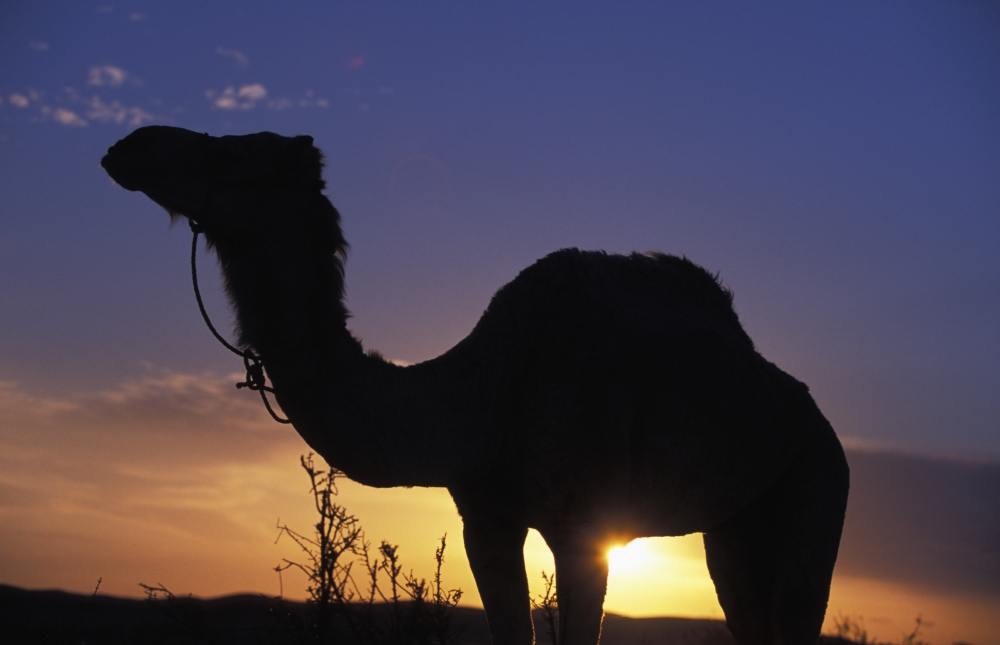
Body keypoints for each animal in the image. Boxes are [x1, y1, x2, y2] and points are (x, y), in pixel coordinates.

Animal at [101, 126, 849, 645]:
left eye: (235, 154)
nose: (130, 146)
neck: (485, 395)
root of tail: (810, 410)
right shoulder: (485, 520)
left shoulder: (586, 527)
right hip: (735, 525)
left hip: (818, 478)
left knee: (795, 600)